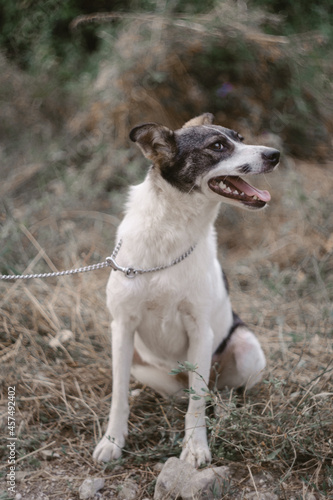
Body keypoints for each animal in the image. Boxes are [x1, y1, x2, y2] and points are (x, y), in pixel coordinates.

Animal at [92, 113, 278, 468]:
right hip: (142, 363)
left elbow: (197, 402)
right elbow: (118, 395)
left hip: (247, 350)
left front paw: (194, 448)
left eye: (240, 138)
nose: (275, 154)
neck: (171, 233)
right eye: (217, 146)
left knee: (218, 392)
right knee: (183, 393)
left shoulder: (200, 331)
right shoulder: (122, 328)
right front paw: (112, 441)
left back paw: (225, 411)